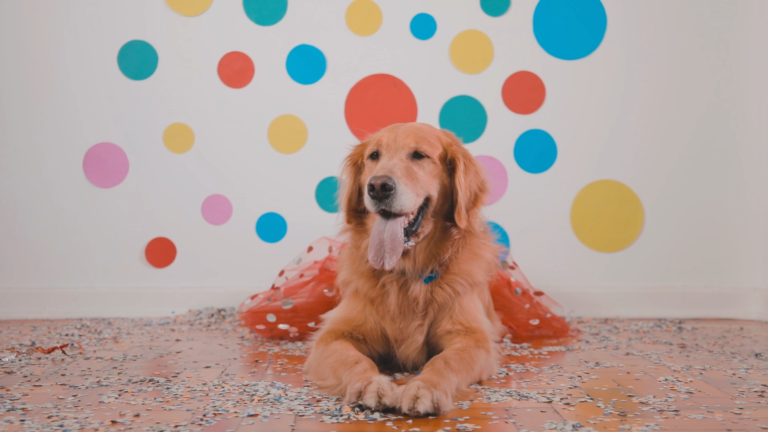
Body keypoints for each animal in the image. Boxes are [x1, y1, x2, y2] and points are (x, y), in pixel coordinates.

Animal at [304, 121, 500, 416]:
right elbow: (354, 360)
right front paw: (370, 384)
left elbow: (445, 361)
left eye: (419, 155)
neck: (405, 272)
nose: (378, 186)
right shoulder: (332, 336)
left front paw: (424, 388)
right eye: (374, 155)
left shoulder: (472, 337)